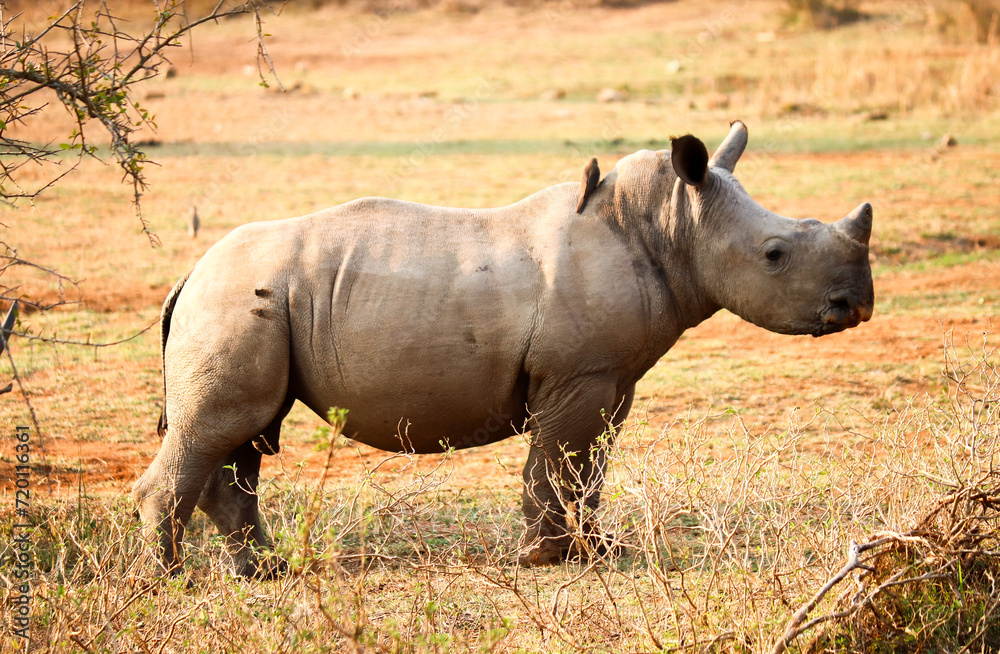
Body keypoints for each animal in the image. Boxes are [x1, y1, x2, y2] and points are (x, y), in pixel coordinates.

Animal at [133, 121, 874, 576]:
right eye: (774, 255)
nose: (856, 306)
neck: (671, 226)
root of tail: (191, 272)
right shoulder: (577, 374)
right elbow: (557, 460)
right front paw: (545, 559)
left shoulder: (610, 377)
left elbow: (586, 468)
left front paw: (595, 552)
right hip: (233, 302)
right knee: (219, 428)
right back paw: (172, 581)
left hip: (252, 303)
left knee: (243, 437)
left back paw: (264, 574)